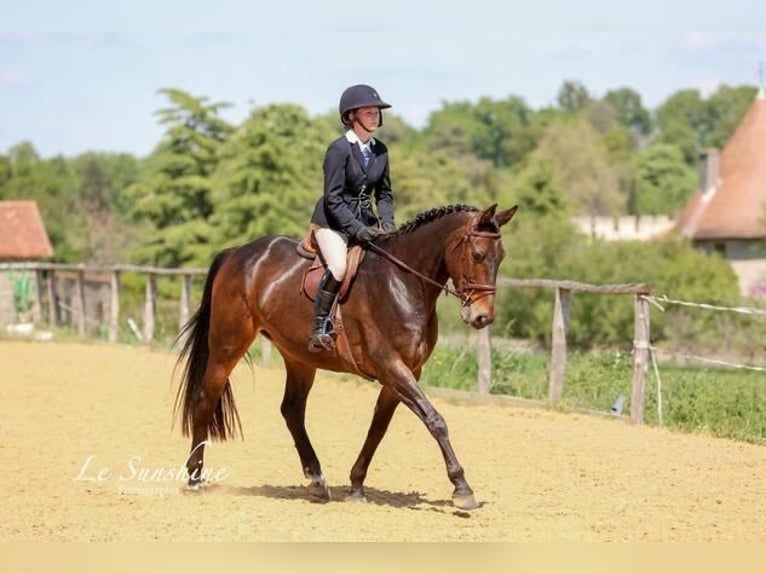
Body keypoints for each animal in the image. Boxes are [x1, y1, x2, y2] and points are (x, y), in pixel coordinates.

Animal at [176, 204, 520, 512]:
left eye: (502, 257)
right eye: (478, 255)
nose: (482, 317)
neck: (403, 282)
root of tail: (237, 253)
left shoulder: (406, 372)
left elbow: (378, 428)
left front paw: (356, 485)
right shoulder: (392, 367)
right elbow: (435, 421)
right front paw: (462, 489)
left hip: (298, 356)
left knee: (292, 410)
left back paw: (316, 481)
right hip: (228, 345)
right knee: (206, 399)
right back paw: (194, 478)